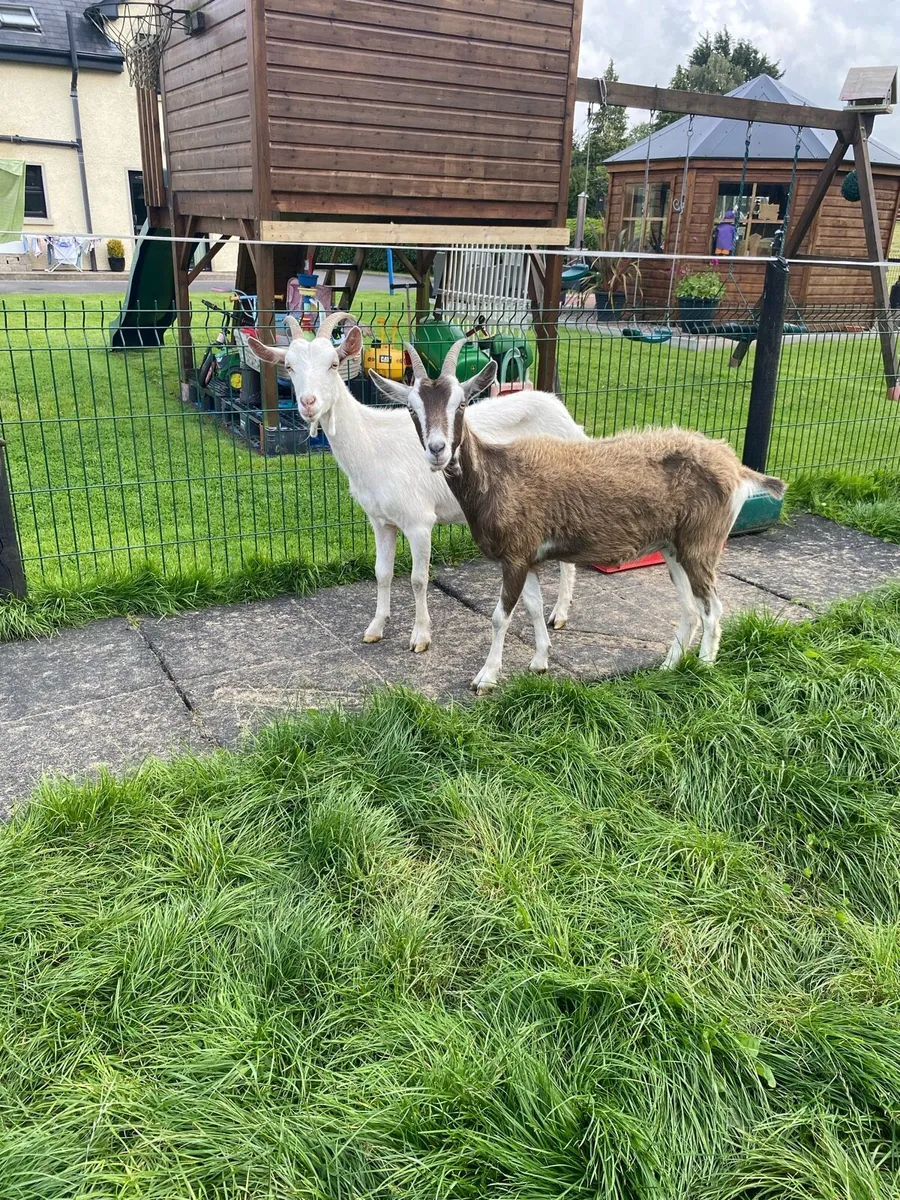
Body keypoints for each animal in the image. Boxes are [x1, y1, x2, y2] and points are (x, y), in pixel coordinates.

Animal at [247, 314, 586, 653]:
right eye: (289, 366)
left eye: (333, 363)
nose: (308, 403)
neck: (372, 445)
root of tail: (565, 414)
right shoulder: (381, 521)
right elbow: (382, 573)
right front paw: (375, 628)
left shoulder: (419, 522)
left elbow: (418, 579)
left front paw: (420, 636)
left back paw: (559, 614)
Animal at [382, 337, 787, 692]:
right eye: (413, 410)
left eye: (462, 404)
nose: (438, 450)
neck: (499, 474)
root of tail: (735, 467)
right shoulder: (527, 558)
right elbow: (533, 608)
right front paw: (540, 661)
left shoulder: (515, 556)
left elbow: (501, 617)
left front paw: (486, 678)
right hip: (673, 548)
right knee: (689, 609)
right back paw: (669, 666)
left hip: (701, 545)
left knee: (712, 609)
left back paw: (703, 668)